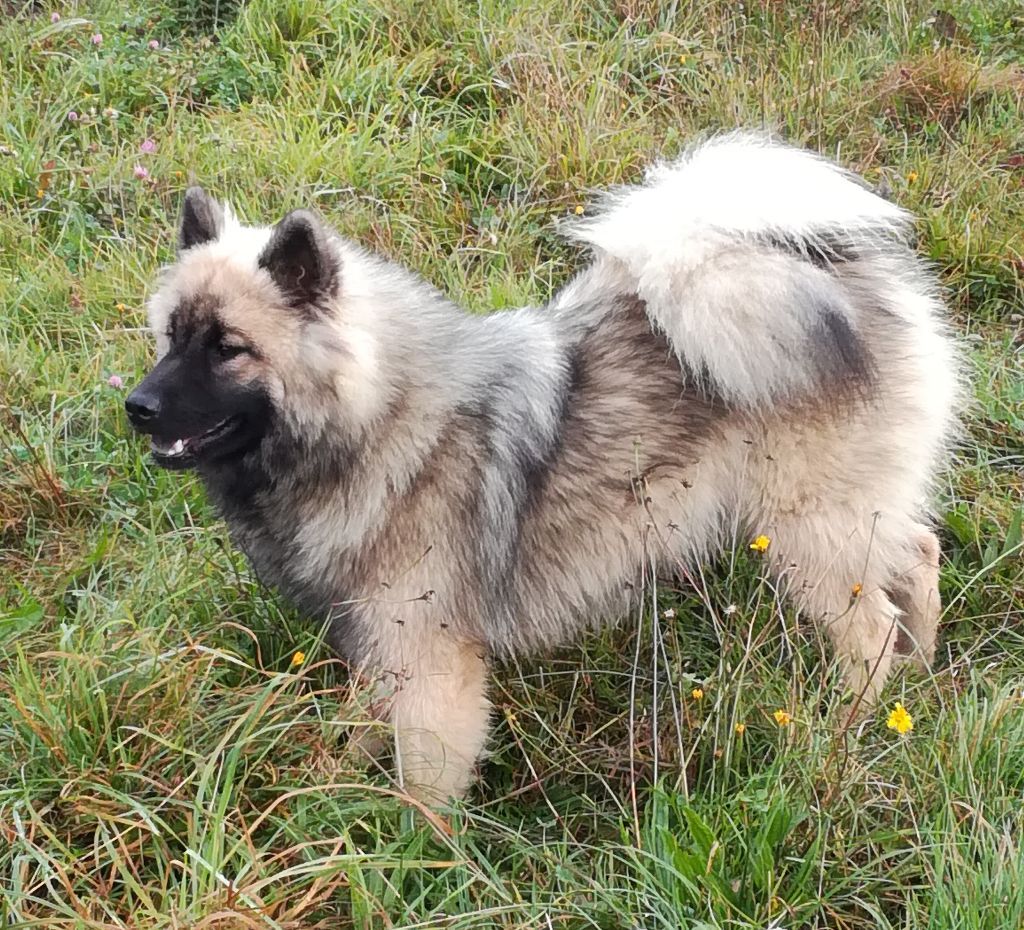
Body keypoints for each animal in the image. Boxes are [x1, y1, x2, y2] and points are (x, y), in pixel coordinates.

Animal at [125, 132, 958, 798]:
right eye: (169, 336)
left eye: (228, 348)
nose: (136, 406)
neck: (381, 423)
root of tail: (839, 274)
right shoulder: (380, 642)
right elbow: (363, 722)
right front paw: (334, 785)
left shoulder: (433, 667)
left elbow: (423, 789)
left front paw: (413, 858)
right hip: (850, 517)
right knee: (920, 555)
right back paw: (917, 681)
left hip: (810, 533)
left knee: (871, 628)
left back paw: (851, 724)